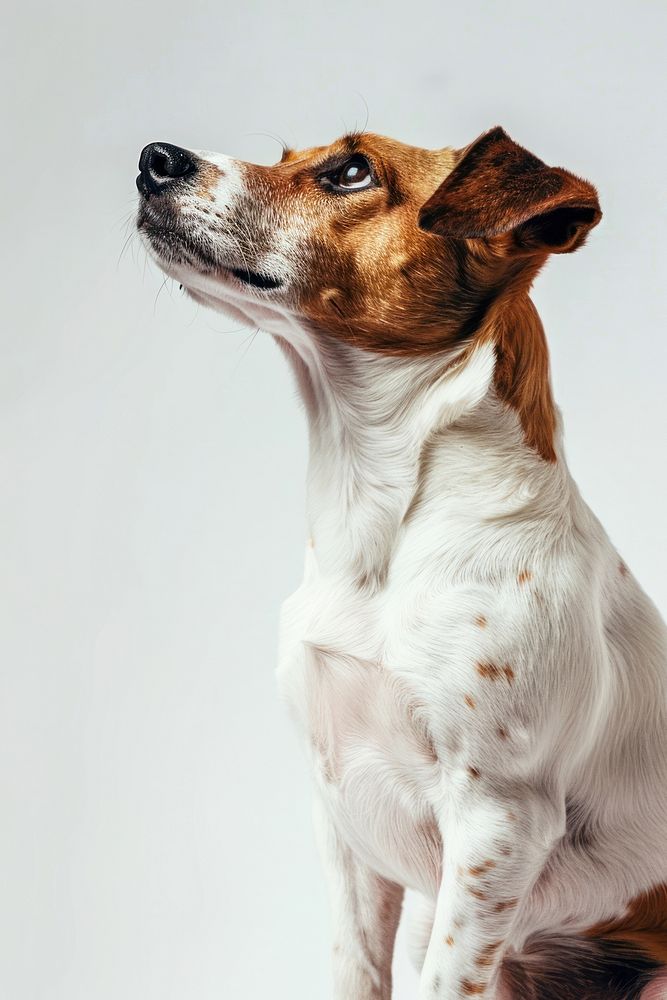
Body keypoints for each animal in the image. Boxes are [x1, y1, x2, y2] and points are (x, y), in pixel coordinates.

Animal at [136, 127, 667, 1000]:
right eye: (288, 154)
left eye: (351, 171)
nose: (154, 158)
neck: (380, 531)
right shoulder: (342, 812)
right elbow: (356, 967)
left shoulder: (496, 823)